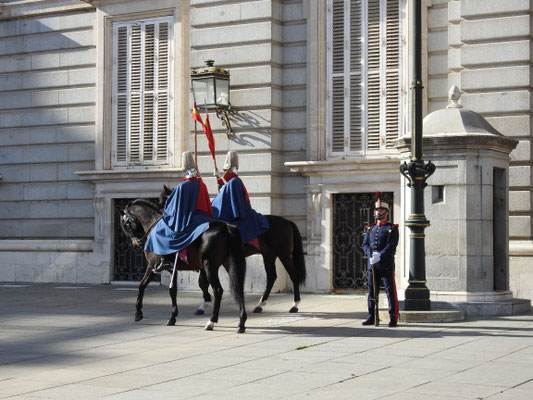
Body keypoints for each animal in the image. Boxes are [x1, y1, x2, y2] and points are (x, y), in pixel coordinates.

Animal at [120, 198, 247, 332]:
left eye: (126, 224)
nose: (136, 243)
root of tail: (226, 227)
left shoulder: (153, 266)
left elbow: (142, 285)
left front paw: (138, 312)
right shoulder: (172, 269)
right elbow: (172, 290)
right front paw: (172, 317)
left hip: (209, 266)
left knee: (218, 290)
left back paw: (211, 321)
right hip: (228, 263)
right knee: (238, 289)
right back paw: (241, 323)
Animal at [158, 186, 306, 314]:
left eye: (165, 203)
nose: (163, 221)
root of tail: (287, 221)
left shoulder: (206, 262)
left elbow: (203, 283)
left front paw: (205, 304)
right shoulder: (203, 263)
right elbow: (202, 283)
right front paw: (204, 304)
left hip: (283, 253)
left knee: (293, 274)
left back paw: (295, 305)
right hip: (269, 255)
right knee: (271, 277)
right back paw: (260, 305)